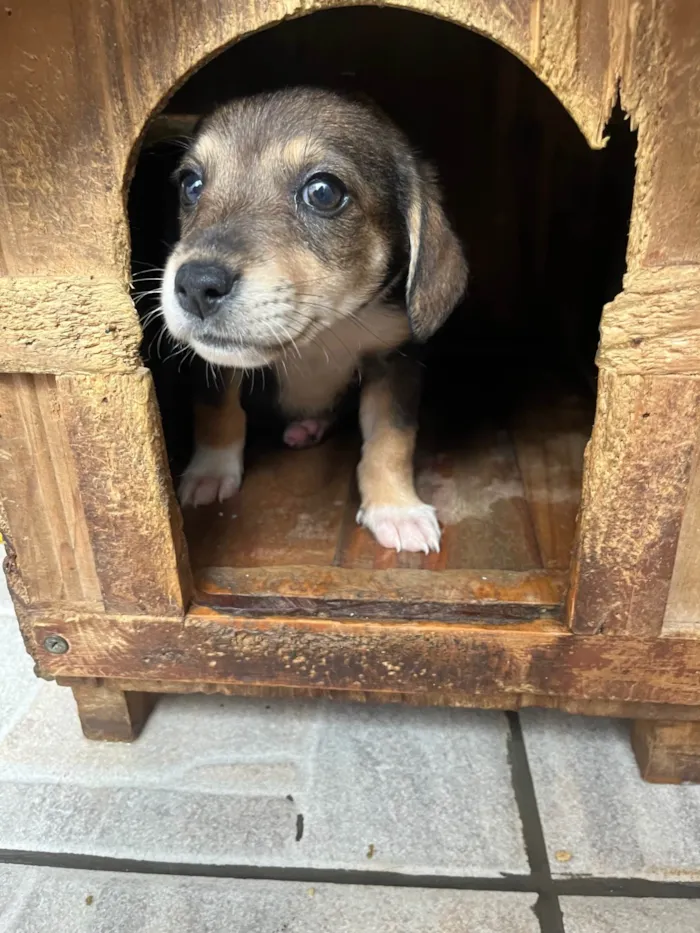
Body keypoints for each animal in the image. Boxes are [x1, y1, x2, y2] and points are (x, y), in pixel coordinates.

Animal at [159, 85, 464, 552]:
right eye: (192, 185)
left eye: (323, 192)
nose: (195, 285)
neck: (325, 331)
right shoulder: (212, 364)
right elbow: (217, 409)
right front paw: (210, 472)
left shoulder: (395, 358)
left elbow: (391, 439)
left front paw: (396, 508)